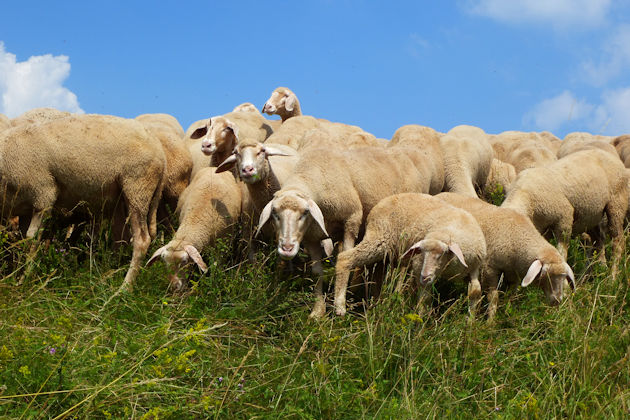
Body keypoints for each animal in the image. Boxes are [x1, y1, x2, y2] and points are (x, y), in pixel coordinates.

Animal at [0, 113, 167, 290]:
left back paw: (124, 287)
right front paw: (16, 275)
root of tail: (161, 154)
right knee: (121, 238)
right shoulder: (25, 208)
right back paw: (109, 274)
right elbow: (23, 239)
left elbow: (32, 238)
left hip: (138, 186)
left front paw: (24, 279)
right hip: (120, 197)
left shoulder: (43, 194)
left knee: (141, 240)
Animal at [256, 144, 444, 318]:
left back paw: (396, 296)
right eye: (275, 213)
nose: (286, 249)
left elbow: (345, 260)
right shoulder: (311, 237)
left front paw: (340, 305)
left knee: (402, 267)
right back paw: (375, 301)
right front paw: (318, 312)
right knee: (380, 266)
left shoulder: (351, 221)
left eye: (304, 213)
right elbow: (317, 272)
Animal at [336, 194, 488, 318]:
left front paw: (470, 321)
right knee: (345, 258)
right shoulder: (418, 265)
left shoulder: (473, 267)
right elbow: (425, 298)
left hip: (384, 254)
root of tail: (382, 202)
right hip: (379, 238)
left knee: (376, 276)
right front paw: (420, 322)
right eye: (422, 252)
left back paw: (374, 303)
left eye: (441, 254)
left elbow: (475, 290)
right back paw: (340, 306)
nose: (424, 276)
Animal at [440, 192, 576, 320]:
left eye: (563, 277)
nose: (557, 301)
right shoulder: (489, 269)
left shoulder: (514, 274)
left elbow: (510, 296)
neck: (517, 239)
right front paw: (490, 321)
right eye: (546, 275)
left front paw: (506, 311)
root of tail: (441, 194)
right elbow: (493, 297)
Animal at [502, 149, 628, 278]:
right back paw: (584, 277)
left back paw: (612, 277)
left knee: (618, 243)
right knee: (596, 242)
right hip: (591, 215)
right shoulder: (542, 229)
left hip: (616, 204)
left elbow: (561, 252)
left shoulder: (565, 217)